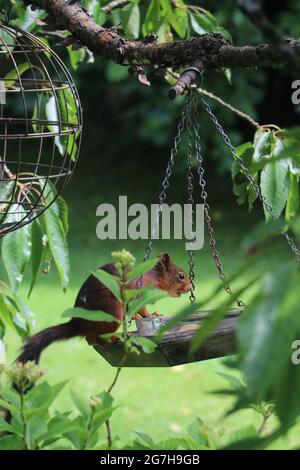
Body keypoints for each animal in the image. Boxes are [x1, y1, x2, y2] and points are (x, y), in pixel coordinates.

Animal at [17, 253, 192, 364]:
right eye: (181, 276)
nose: (191, 287)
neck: (153, 277)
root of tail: (80, 324)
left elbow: (142, 310)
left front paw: (153, 314)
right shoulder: (136, 291)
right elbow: (136, 310)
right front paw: (141, 318)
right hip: (112, 310)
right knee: (94, 339)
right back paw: (117, 337)